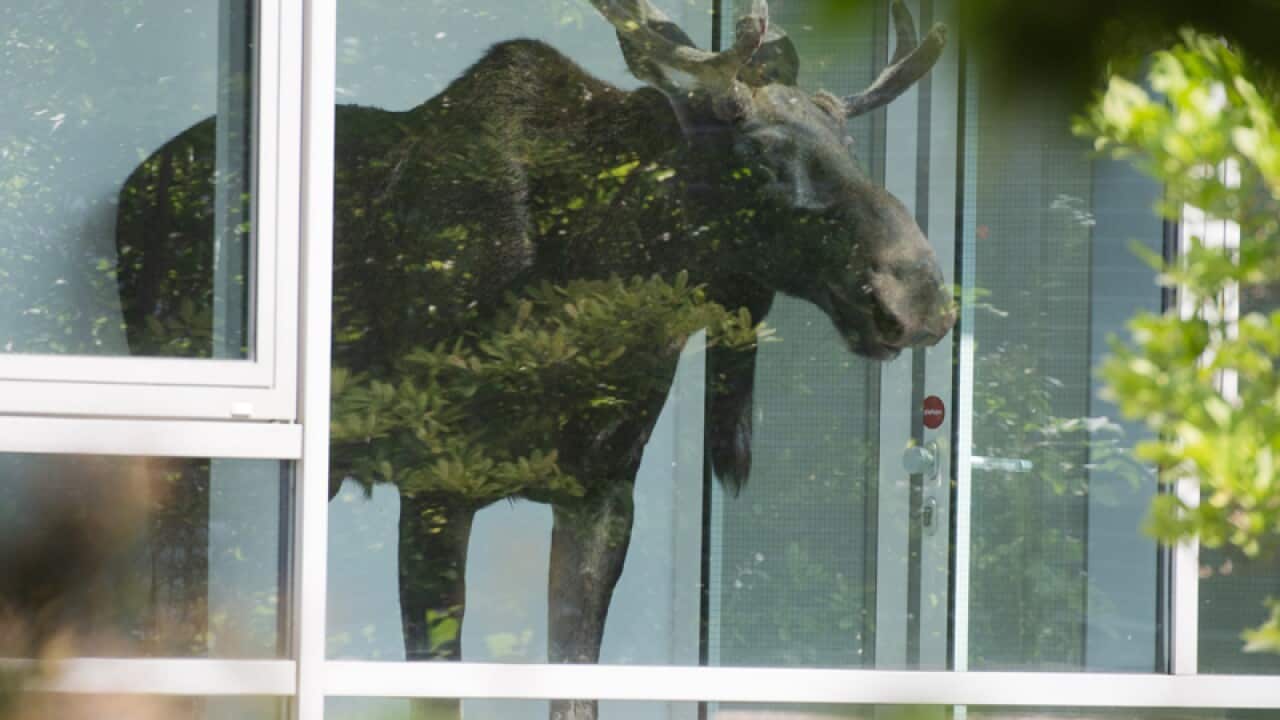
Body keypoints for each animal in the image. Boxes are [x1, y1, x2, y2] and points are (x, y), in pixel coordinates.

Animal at [114, 1, 953, 717]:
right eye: (760, 149)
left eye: (849, 144)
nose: (919, 294)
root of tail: (133, 185)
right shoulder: (437, 482)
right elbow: (435, 686)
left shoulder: (602, 490)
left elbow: (574, 685)